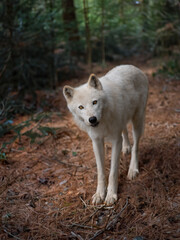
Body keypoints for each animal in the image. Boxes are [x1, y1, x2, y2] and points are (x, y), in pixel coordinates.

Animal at [62, 65, 148, 204]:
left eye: (94, 102)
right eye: (81, 107)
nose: (92, 119)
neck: (103, 120)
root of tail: (132, 66)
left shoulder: (116, 141)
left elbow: (112, 172)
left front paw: (111, 195)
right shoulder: (96, 141)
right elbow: (101, 171)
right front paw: (99, 194)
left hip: (137, 121)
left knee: (136, 146)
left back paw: (133, 169)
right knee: (125, 131)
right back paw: (126, 148)